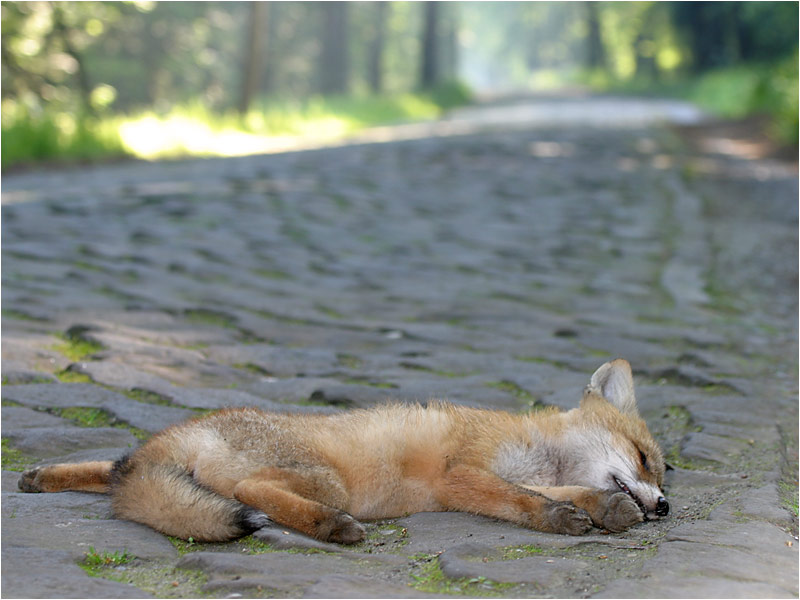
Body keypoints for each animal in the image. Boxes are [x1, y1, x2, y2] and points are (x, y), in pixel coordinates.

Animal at [17, 358, 668, 548]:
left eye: (666, 473)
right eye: (644, 457)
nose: (664, 505)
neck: (538, 450)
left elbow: (572, 490)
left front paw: (605, 509)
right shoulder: (464, 474)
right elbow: (523, 501)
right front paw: (563, 517)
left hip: (146, 468)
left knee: (114, 470)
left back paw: (40, 477)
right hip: (324, 479)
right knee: (250, 494)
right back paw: (331, 527)